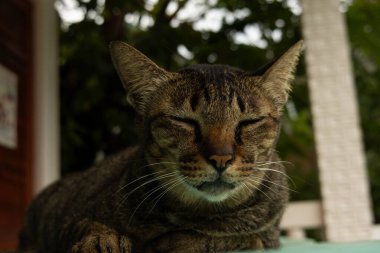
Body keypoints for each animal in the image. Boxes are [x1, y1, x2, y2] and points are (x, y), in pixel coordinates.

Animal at [17, 40, 302, 252]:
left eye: (249, 122)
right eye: (184, 121)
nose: (221, 158)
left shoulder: (268, 236)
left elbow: (232, 239)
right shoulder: (67, 222)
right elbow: (84, 226)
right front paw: (100, 240)